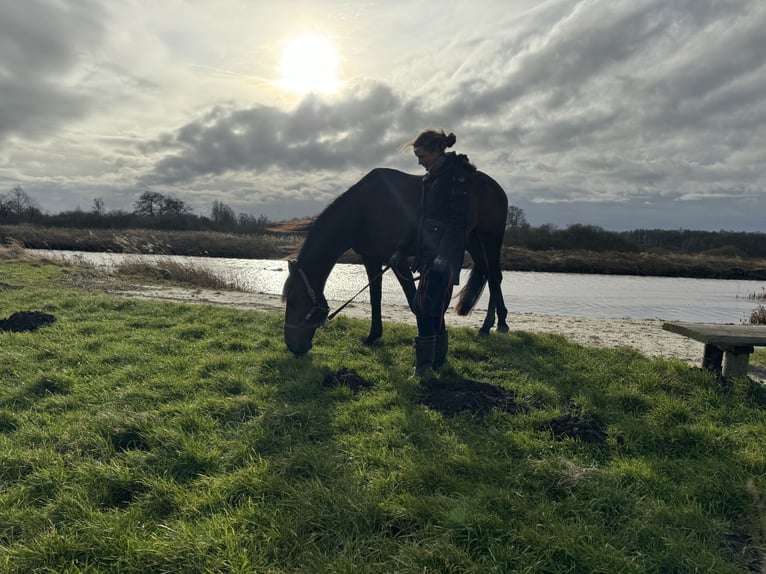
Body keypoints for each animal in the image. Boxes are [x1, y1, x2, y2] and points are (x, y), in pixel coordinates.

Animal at [280, 165, 510, 356]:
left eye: (293, 301)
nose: (293, 347)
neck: (364, 210)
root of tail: (496, 187)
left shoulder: (399, 262)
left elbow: (413, 300)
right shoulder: (371, 258)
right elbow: (375, 298)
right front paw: (373, 336)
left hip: (491, 237)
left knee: (494, 276)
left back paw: (497, 324)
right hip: (472, 240)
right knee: (489, 274)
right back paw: (489, 326)